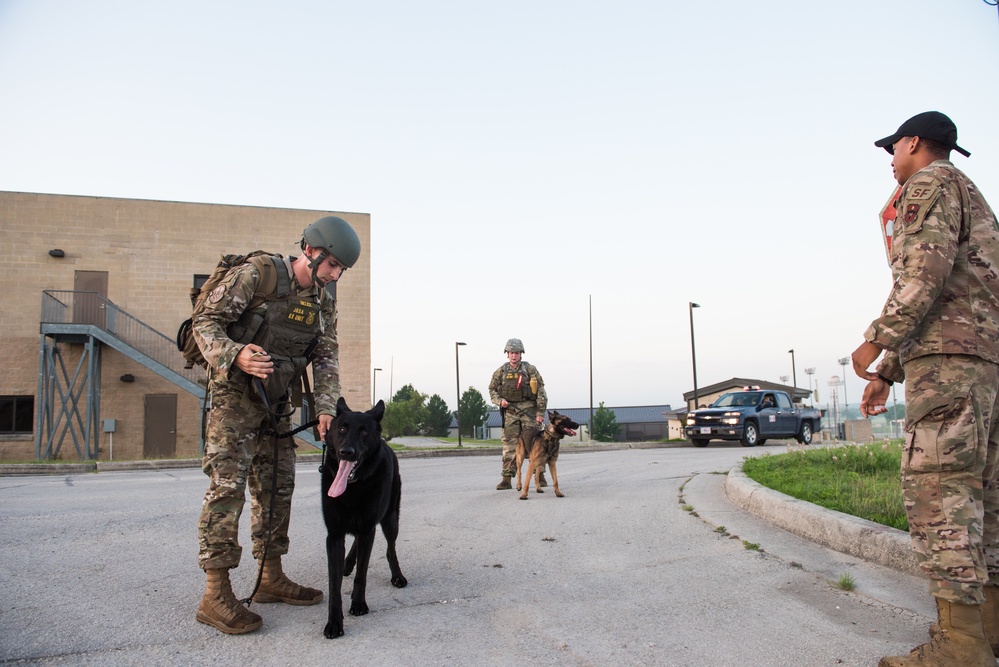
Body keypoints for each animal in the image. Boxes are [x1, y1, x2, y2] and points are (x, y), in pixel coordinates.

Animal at [320, 400, 406, 640]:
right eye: (341, 429)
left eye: (364, 432)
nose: (346, 452)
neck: (352, 488)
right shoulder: (334, 536)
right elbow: (334, 585)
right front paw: (334, 622)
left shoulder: (368, 529)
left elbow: (362, 573)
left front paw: (358, 604)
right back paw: (348, 563)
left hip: (391, 520)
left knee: (390, 549)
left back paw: (397, 576)